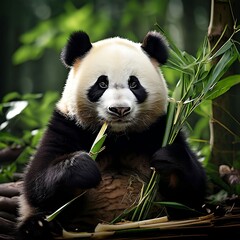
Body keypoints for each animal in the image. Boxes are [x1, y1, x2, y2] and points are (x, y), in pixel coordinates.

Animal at [16, 31, 206, 239]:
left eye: (133, 83)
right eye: (102, 83)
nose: (120, 109)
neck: (117, 136)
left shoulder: (159, 128)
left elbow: (193, 191)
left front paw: (167, 159)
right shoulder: (67, 127)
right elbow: (36, 182)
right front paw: (83, 167)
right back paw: (39, 226)